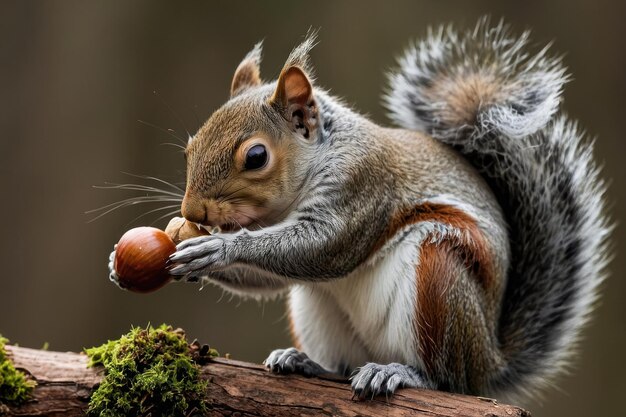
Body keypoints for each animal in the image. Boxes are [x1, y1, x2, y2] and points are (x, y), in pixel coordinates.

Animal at [108, 20, 608, 400]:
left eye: (256, 157)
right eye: (191, 146)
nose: (193, 211)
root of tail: (489, 363)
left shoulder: (360, 186)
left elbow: (323, 247)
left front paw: (219, 249)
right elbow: (269, 278)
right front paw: (132, 259)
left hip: (439, 278)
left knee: (444, 379)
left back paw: (400, 373)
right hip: (317, 309)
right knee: (343, 363)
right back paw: (306, 362)